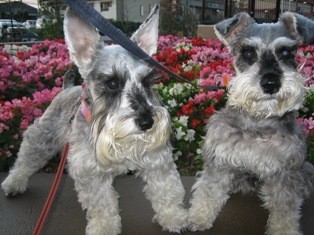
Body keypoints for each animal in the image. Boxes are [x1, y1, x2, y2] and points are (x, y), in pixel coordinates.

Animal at [1, 5, 189, 235]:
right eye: (111, 83)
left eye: (147, 81)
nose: (147, 123)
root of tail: (66, 88)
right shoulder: (91, 173)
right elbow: (101, 204)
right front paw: (104, 227)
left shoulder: (157, 161)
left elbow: (167, 190)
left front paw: (173, 217)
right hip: (41, 139)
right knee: (25, 160)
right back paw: (13, 183)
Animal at [189, 12, 314, 233]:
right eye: (248, 53)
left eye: (285, 52)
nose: (271, 83)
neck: (259, 120)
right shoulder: (219, 161)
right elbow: (209, 190)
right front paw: (199, 217)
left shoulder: (286, 171)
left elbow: (285, 209)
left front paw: (283, 230)